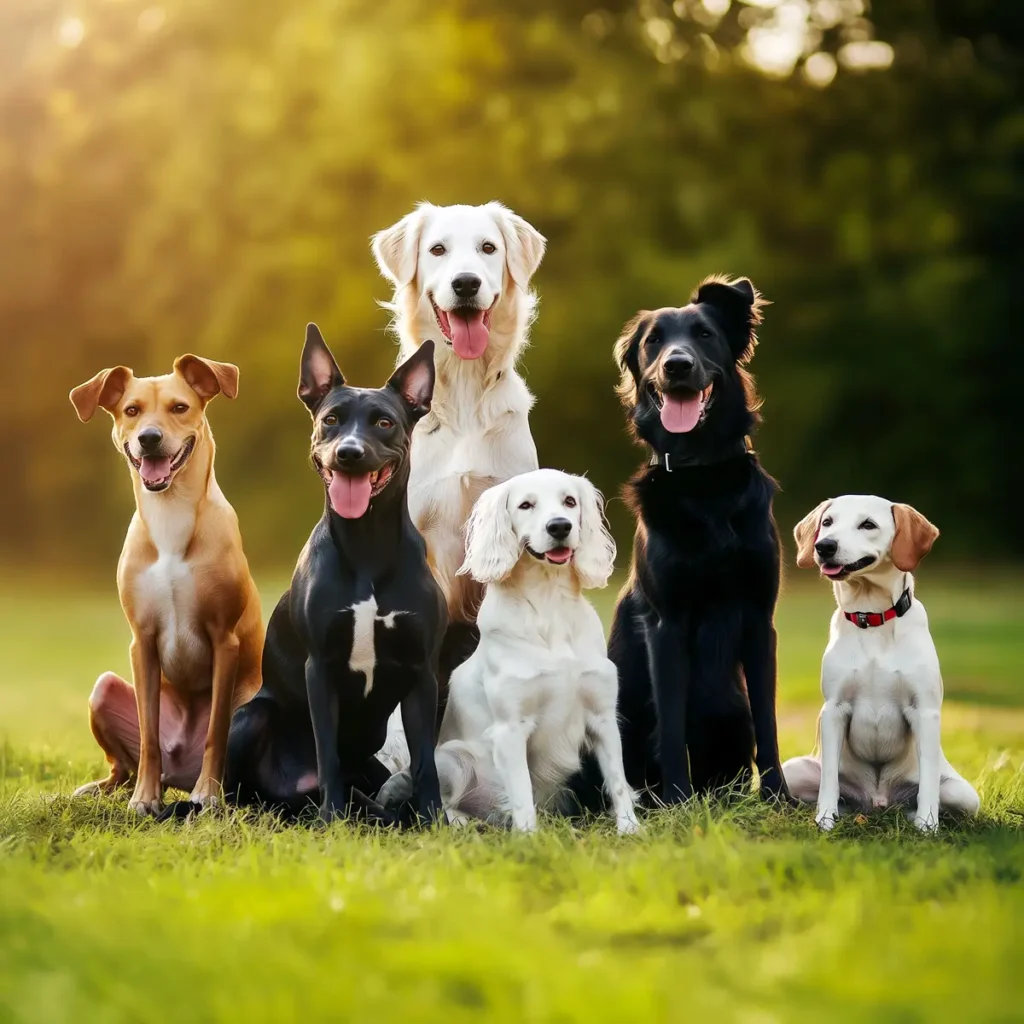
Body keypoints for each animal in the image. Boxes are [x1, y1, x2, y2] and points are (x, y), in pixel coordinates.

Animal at [67, 356, 260, 811]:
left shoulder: (225, 640)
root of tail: (180, 775)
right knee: (125, 766)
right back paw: (107, 788)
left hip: (252, 699)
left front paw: (210, 793)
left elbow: (215, 733)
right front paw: (145, 798)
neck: (171, 514)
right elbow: (149, 735)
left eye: (179, 407)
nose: (149, 438)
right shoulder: (143, 642)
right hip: (103, 690)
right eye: (132, 410)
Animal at [218, 327, 446, 823]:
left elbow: (426, 759)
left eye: (384, 423)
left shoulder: (422, 674)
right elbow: (328, 754)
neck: (367, 545)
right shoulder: (319, 670)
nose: (349, 453)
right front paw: (332, 820)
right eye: (331, 419)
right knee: (233, 792)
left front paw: (435, 819)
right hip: (248, 719)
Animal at [610, 276, 786, 802]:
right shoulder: (665, 623)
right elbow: (671, 726)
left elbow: (769, 721)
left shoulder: (759, 617)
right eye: (653, 341)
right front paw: (676, 800)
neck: (701, 475)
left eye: (705, 335)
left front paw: (779, 796)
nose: (677, 365)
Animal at [786, 493, 978, 831]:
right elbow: (828, 781)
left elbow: (929, 783)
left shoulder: (925, 711)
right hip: (791, 771)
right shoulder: (833, 710)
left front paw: (927, 825)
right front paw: (825, 819)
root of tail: (878, 799)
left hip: (964, 793)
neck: (872, 618)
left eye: (868, 524)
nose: (824, 546)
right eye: (827, 522)